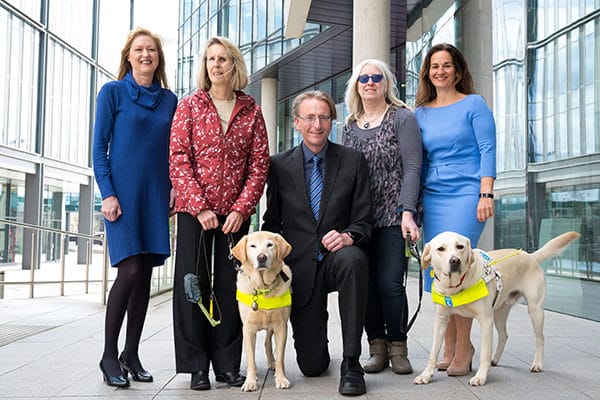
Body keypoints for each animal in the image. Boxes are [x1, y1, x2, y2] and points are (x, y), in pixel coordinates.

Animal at [232, 231, 292, 390]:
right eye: (252, 246)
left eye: (269, 245)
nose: (261, 257)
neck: (263, 288)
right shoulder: (248, 329)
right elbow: (251, 360)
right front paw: (250, 382)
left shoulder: (281, 327)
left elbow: (281, 358)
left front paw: (281, 378)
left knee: (267, 342)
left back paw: (272, 362)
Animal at [414, 230, 580, 386]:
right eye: (440, 249)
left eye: (460, 247)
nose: (455, 261)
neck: (456, 287)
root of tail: (530, 256)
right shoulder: (440, 320)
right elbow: (433, 352)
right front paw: (426, 375)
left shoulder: (485, 320)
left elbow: (484, 353)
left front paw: (480, 377)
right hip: (499, 313)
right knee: (504, 335)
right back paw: (495, 359)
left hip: (535, 310)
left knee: (540, 339)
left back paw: (537, 364)